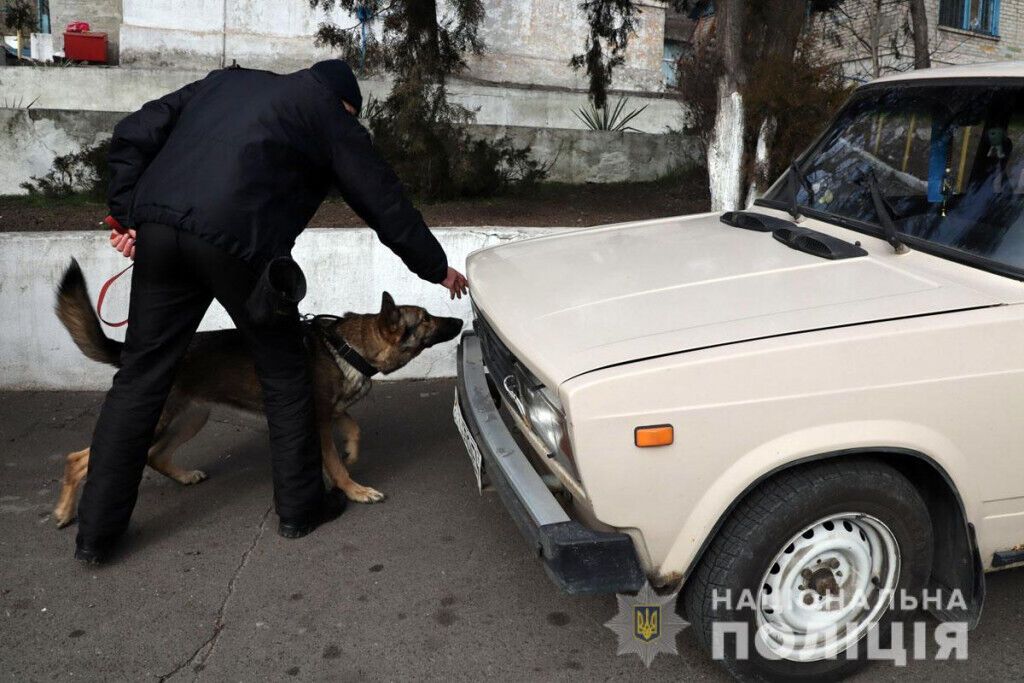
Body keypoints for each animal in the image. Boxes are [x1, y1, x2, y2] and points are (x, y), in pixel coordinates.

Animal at [51, 262, 460, 528]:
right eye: (425, 319)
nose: (457, 321)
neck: (348, 347)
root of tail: (130, 354)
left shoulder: (330, 414)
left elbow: (354, 429)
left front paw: (352, 453)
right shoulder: (318, 420)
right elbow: (335, 463)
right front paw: (354, 490)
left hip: (192, 418)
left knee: (155, 455)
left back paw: (183, 476)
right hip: (156, 420)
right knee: (78, 459)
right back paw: (64, 512)